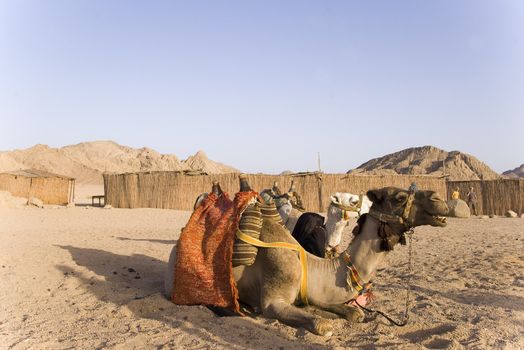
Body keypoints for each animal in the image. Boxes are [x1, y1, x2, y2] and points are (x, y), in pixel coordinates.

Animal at [166, 180, 448, 336]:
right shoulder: (273, 299)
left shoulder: (314, 290)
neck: (314, 265)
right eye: (399, 197)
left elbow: (349, 312)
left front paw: (345, 312)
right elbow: (322, 325)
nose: (440, 200)